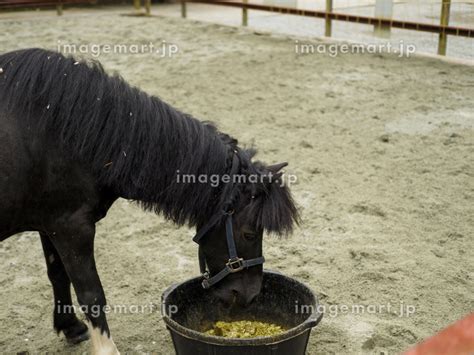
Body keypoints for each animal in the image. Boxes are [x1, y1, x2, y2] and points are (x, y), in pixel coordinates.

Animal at [0, 48, 296, 354]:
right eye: (250, 233)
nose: (251, 296)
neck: (70, 135)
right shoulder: (71, 228)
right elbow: (91, 294)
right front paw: (106, 349)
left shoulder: (50, 223)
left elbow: (57, 275)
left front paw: (70, 326)